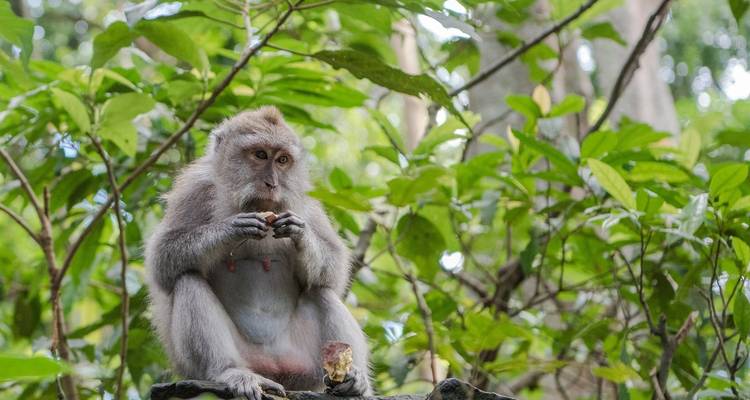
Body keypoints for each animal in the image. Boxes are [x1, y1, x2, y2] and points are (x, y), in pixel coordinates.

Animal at [144, 107, 371, 400]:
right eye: (260, 154)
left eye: (282, 160)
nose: (272, 183)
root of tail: (273, 370)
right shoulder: (195, 190)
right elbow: (162, 259)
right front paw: (232, 229)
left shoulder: (305, 201)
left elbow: (334, 269)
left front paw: (300, 233)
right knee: (188, 279)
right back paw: (229, 371)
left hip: (304, 368)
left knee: (321, 291)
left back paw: (355, 380)